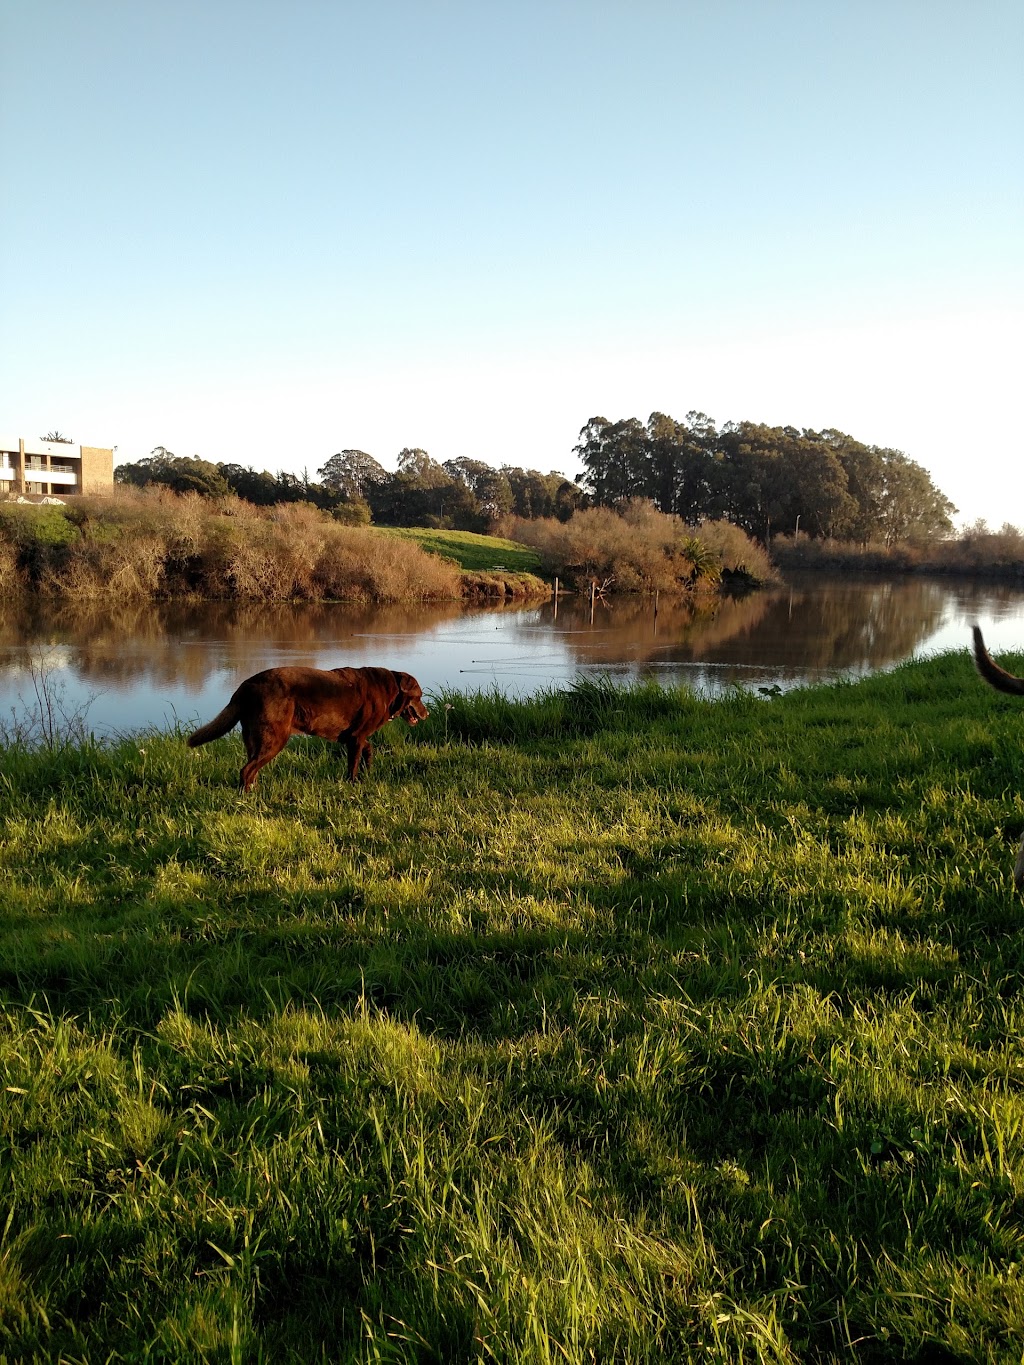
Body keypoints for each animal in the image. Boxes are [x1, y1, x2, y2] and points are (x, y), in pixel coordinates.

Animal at [188, 663, 428, 791]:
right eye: (419, 696)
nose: (427, 714)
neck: (392, 692)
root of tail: (245, 686)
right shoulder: (356, 737)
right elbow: (353, 764)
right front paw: (353, 783)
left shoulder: (353, 737)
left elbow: (368, 750)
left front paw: (368, 769)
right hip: (274, 738)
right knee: (247, 770)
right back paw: (247, 797)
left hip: (254, 740)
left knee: (250, 768)